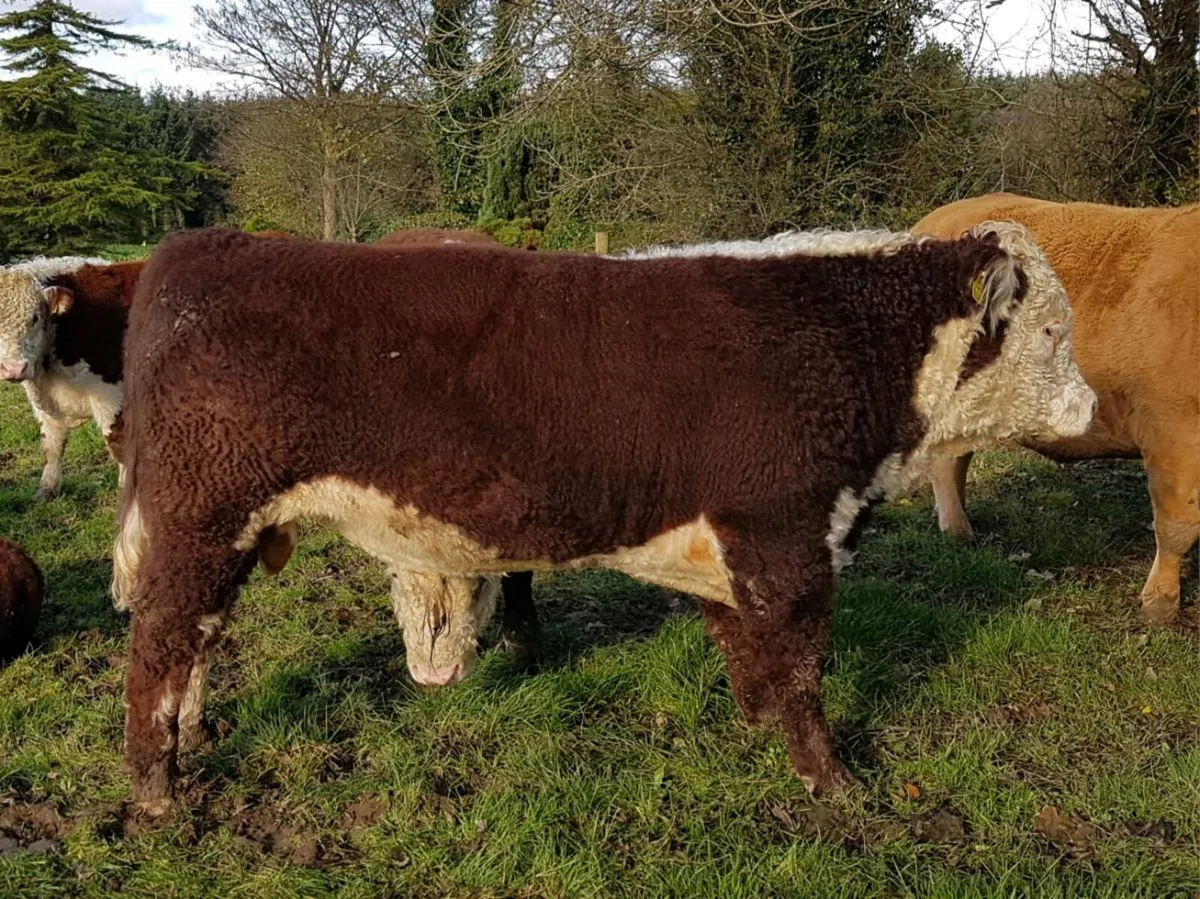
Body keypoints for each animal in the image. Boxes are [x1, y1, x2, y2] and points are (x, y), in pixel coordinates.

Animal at [0, 258, 143, 500]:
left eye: (35, 317)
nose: (13, 369)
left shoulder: (112, 394)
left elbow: (118, 443)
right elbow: (52, 445)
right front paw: (47, 489)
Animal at [110, 224, 1094, 811]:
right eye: (1052, 332)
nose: (1089, 409)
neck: (847, 340)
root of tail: (203, 248)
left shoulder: (734, 543)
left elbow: (749, 651)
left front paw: (755, 728)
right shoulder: (786, 536)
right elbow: (804, 669)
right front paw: (835, 781)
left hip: (217, 528)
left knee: (195, 638)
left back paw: (193, 738)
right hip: (202, 515)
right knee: (159, 642)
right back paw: (158, 789)